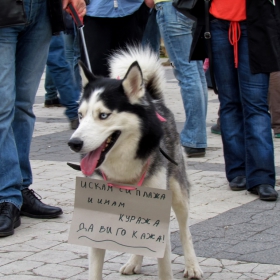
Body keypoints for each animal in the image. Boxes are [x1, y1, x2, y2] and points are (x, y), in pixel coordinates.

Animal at [69, 47, 202, 280]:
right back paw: (134, 262)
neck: (122, 171)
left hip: (177, 192)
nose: (74, 143)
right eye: (80, 115)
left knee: (185, 231)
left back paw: (192, 265)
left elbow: (165, 267)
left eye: (103, 115)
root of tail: (153, 99)